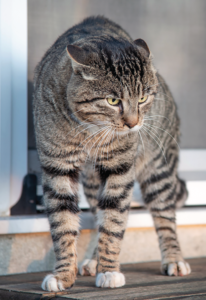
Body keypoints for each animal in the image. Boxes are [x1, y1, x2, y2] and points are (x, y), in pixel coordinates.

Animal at [33, 15, 191, 292]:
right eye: (112, 101)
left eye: (142, 99)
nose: (133, 123)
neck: (90, 131)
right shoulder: (57, 167)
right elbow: (63, 224)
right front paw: (63, 275)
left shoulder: (120, 168)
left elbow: (114, 222)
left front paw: (109, 271)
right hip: (93, 182)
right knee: (98, 213)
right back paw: (93, 260)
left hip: (158, 167)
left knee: (165, 215)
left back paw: (174, 259)